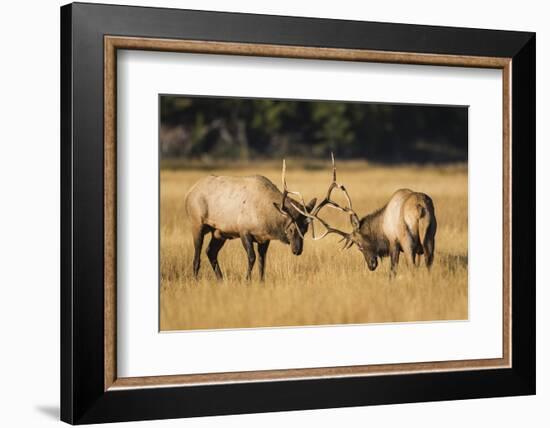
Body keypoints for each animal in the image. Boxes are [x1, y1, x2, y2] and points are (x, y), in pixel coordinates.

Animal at [185, 160, 316, 280]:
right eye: (291, 229)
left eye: (305, 230)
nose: (297, 250)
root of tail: (189, 193)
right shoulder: (244, 231)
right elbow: (252, 257)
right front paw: (247, 279)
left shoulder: (264, 239)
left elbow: (262, 262)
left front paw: (261, 281)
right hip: (197, 224)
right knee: (197, 257)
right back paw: (196, 280)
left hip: (219, 232)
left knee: (210, 251)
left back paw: (221, 279)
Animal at [296, 155, 438, 274]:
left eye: (359, 245)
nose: (371, 265)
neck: (381, 227)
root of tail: (420, 207)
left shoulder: (394, 242)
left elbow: (392, 271)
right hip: (430, 236)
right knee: (429, 263)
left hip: (407, 239)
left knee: (412, 266)